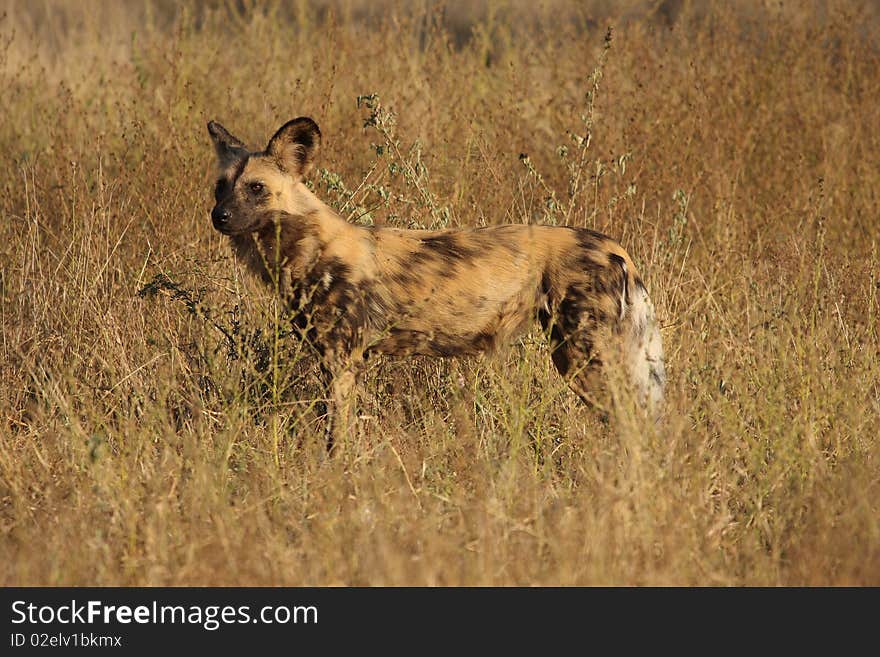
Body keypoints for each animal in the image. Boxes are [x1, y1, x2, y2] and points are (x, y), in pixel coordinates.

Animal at [205, 116, 660, 446]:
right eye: (219, 188)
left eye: (257, 188)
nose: (219, 217)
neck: (307, 246)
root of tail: (614, 247)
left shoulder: (342, 361)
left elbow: (337, 437)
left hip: (585, 358)